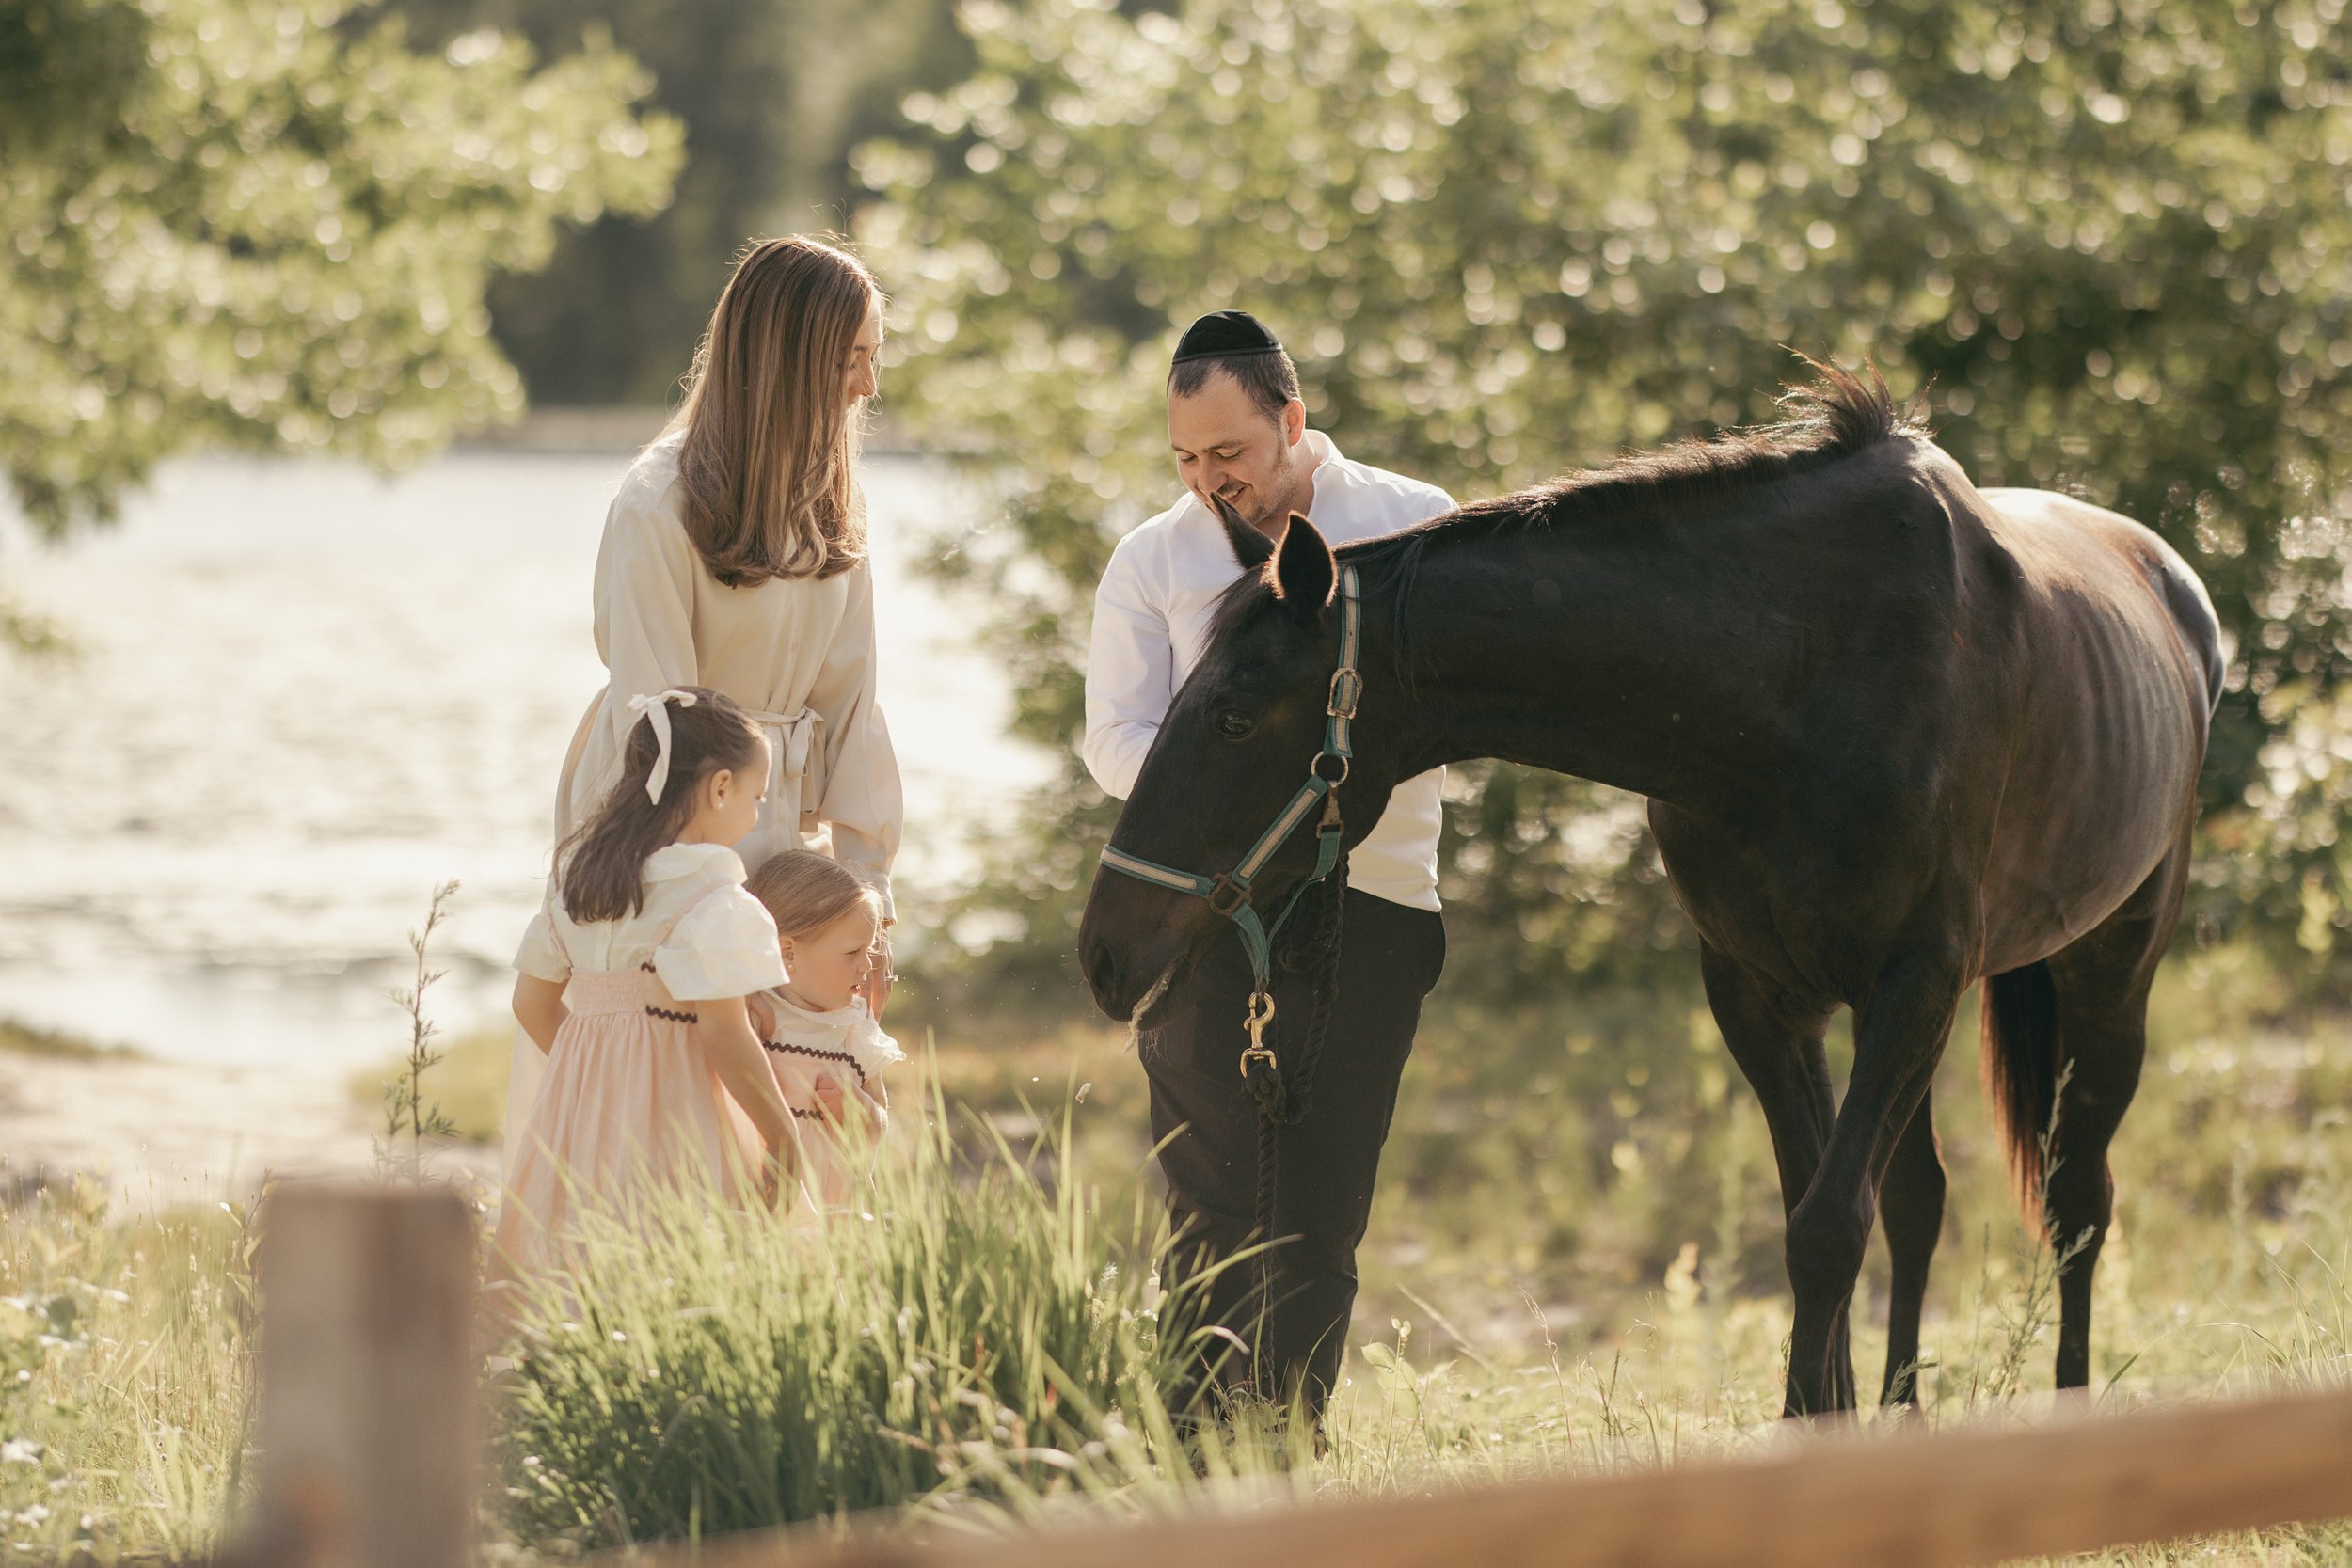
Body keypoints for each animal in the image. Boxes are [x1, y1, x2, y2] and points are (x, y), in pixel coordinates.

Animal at [1077, 363, 2223, 1417]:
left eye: (1231, 714)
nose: (1101, 951)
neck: (1801, 675)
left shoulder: (1915, 981)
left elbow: (1825, 1228)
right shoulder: (1762, 994)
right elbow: (1821, 1206)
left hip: (2110, 970)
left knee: (2075, 1197)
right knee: (1918, 1199)